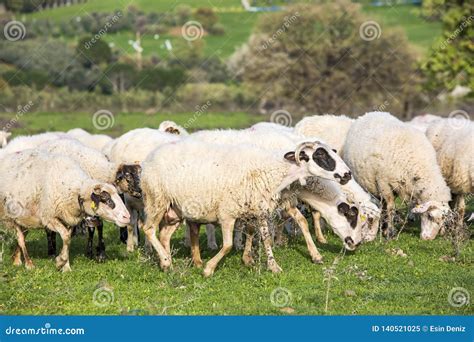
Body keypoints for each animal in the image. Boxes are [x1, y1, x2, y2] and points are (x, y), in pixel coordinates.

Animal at [0, 151, 130, 272]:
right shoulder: (49, 218)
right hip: (9, 216)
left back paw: (16, 260)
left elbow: (67, 239)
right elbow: (66, 237)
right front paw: (60, 262)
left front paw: (66, 266)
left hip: (24, 218)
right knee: (21, 239)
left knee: (22, 236)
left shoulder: (69, 217)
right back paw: (28, 263)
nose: (127, 217)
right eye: (105, 199)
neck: (75, 189)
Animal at [141, 138, 356, 276]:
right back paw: (167, 260)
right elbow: (228, 245)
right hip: (156, 198)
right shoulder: (227, 213)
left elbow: (264, 238)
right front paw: (209, 269)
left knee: (164, 235)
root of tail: (150, 156)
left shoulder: (258, 210)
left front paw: (271, 266)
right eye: (320, 155)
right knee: (148, 229)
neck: (274, 171)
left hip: (174, 208)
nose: (347, 175)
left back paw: (167, 264)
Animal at [342, 111, 450, 239]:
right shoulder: (383, 183)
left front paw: (386, 229)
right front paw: (389, 232)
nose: (428, 239)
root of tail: (371, 113)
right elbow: (390, 207)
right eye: (430, 216)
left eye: (443, 220)